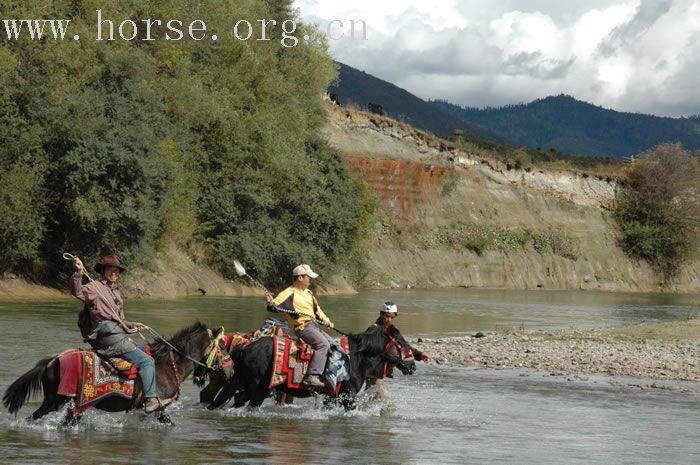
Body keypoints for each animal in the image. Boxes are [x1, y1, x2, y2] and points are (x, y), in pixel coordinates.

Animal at [3, 320, 232, 424]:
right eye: (222, 347)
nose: (231, 372)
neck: (168, 365)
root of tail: (53, 361)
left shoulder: (144, 409)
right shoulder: (158, 405)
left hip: (59, 401)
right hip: (61, 401)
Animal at [205, 324, 418, 408]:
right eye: (402, 343)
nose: (413, 366)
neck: (356, 358)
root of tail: (245, 348)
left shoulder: (332, 397)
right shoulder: (347, 396)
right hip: (258, 389)